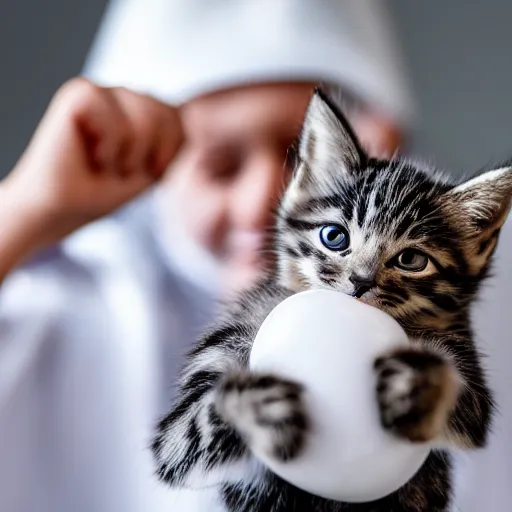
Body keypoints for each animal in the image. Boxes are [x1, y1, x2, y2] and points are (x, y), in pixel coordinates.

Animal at [151, 86, 508, 510]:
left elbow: (471, 407)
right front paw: (255, 409)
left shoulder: (462, 358)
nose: (360, 281)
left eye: (411, 260)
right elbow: (184, 436)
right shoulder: (201, 387)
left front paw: (417, 384)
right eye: (334, 237)